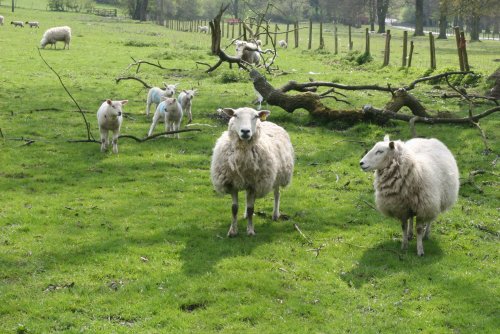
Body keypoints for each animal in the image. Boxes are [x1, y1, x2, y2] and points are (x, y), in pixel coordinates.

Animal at [210, 108, 292, 236]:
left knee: (277, 194)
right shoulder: (232, 183)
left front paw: (250, 230)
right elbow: (234, 208)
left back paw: (275, 215)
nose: (245, 131)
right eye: (235, 115)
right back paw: (244, 215)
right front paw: (232, 231)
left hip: (279, 176)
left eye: (256, 116)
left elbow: (251, 209)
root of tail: (268, 122)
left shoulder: (254, 184)